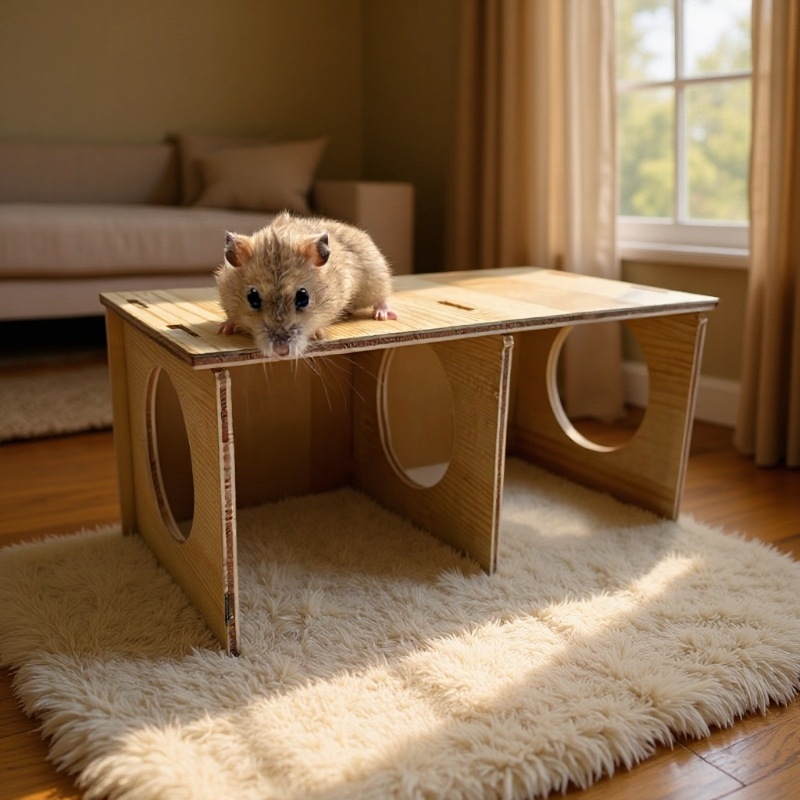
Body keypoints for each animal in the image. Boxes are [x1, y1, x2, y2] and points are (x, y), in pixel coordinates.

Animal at [215, 211, 397, 358]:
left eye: (303, 297)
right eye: (252, 298)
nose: (281, 352)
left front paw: (318, 334)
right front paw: (224, 328)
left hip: (377, 278)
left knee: (382, 298)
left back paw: (383, 315)